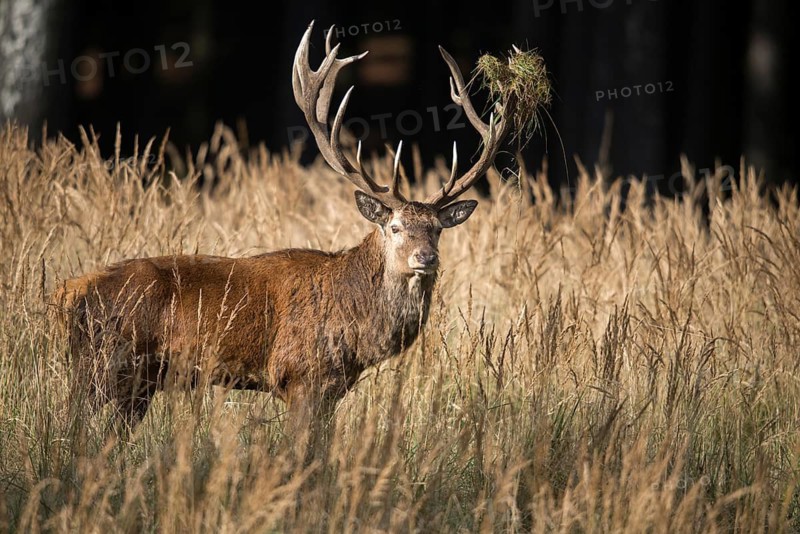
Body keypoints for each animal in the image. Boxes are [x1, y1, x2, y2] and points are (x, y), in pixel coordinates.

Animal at [53, 21, 516, 446]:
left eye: (437, 229)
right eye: (395, 226)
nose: (426, 258)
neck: (355, 319)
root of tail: (71, 292)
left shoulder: (332, 388)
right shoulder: (300, 376)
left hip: (137, 383)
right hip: (100, 365)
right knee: (72, 424)